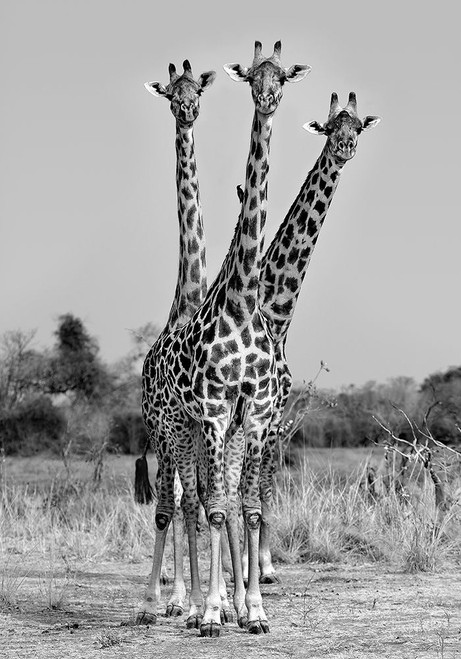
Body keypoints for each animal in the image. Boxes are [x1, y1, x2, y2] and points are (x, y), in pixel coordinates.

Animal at [139, 41, 310, 637]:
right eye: (253, 77)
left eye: (282, 75)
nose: (269, 97)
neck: (236, 302)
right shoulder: (210, 410)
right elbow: (209, 507)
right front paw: (210, 612)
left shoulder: (252, 413)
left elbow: (247, 507)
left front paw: (253, 610)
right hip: (171, 428)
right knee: (178, 503)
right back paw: (163, 604)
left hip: (207, 431)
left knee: (211, 500)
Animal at [244, 91, 381, 582]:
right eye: (326, 128)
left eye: (356, 127)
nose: (344, 148)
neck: (276, 312)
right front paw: (253, 574)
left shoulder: (275, 412)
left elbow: (264, 484)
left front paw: (264, 567)